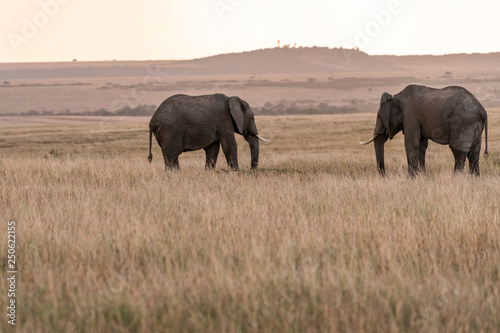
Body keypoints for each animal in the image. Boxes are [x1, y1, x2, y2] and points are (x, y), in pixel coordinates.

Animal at [360, 84, 488, 175]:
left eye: (379, 116)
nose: (384, 174)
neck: (396, 96)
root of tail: (482, 110)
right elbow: (422, 144)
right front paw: (422, 176)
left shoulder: (410, 114)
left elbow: (411, 143)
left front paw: (411, 178)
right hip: (473, 125)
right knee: (474, 153)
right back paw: (474, 179)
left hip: (464, 123)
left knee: (458, 151)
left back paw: (456, 178)